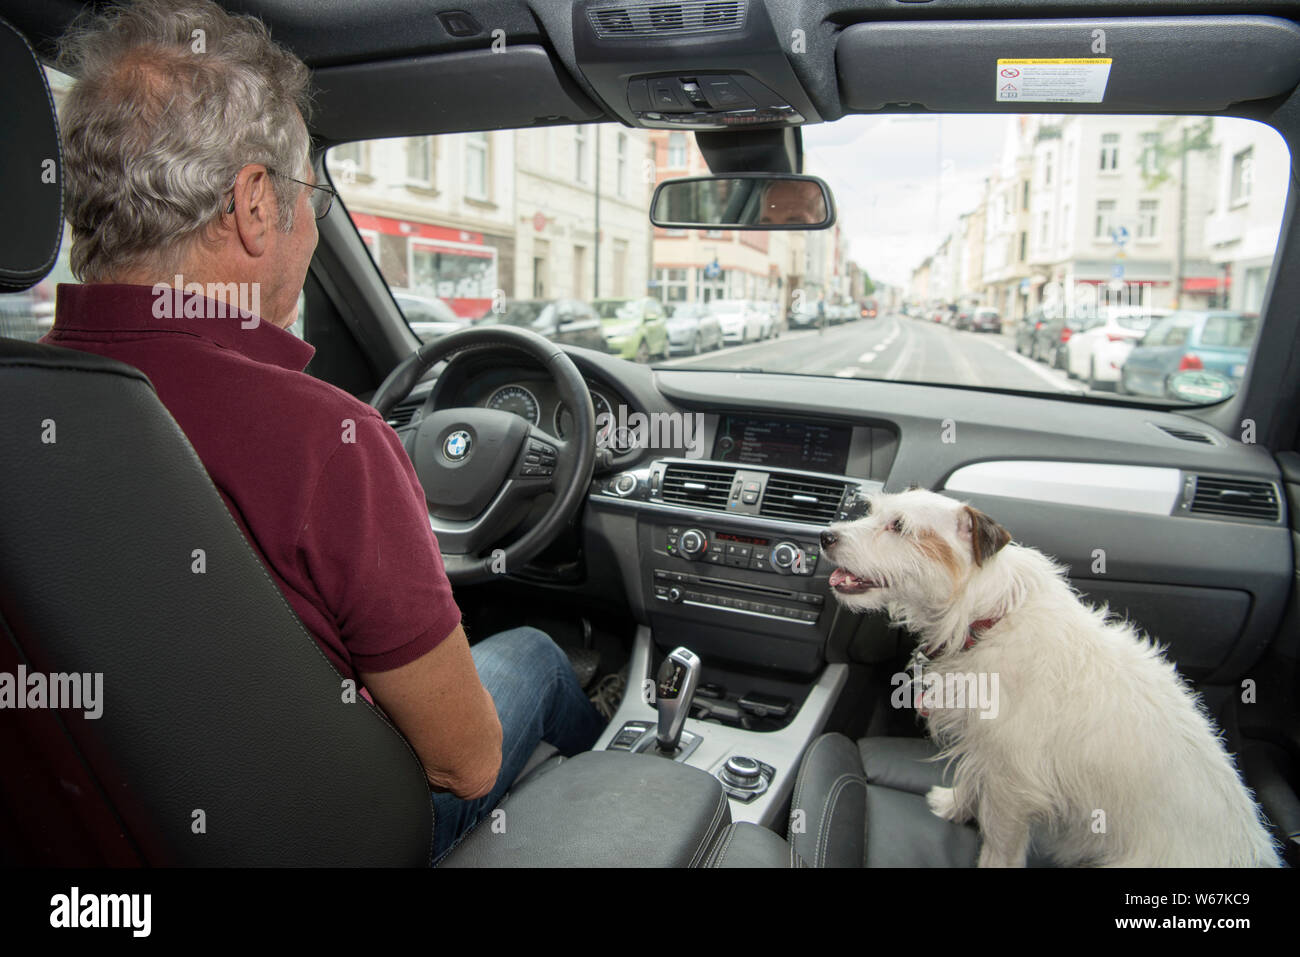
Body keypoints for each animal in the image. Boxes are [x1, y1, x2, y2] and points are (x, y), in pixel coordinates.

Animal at [821, 488, 1279, 868]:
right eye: (874, 511)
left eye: (899, 526)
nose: (825, 535)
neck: (986, 620)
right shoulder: (985, 746)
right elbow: (971, 779)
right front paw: (953, 805)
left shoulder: (1013, 783)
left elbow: (1000, 843)